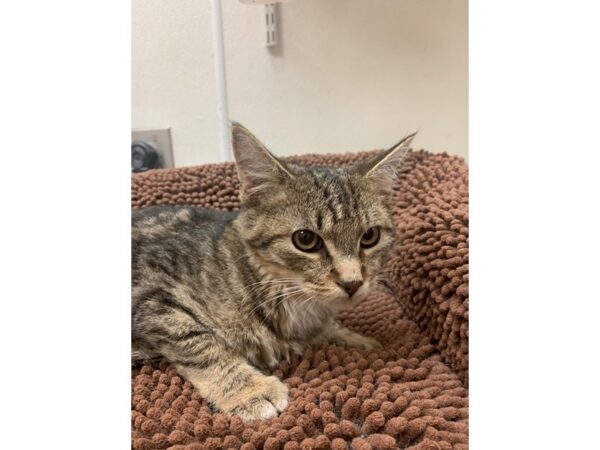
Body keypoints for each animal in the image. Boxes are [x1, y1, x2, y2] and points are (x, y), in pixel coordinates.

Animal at [132, 122, 414, 422]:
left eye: (370, 236)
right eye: (305, 239)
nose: (352, 283)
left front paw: (356, 338)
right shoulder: (150, 292)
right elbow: (199, 342)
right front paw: (249, 389)